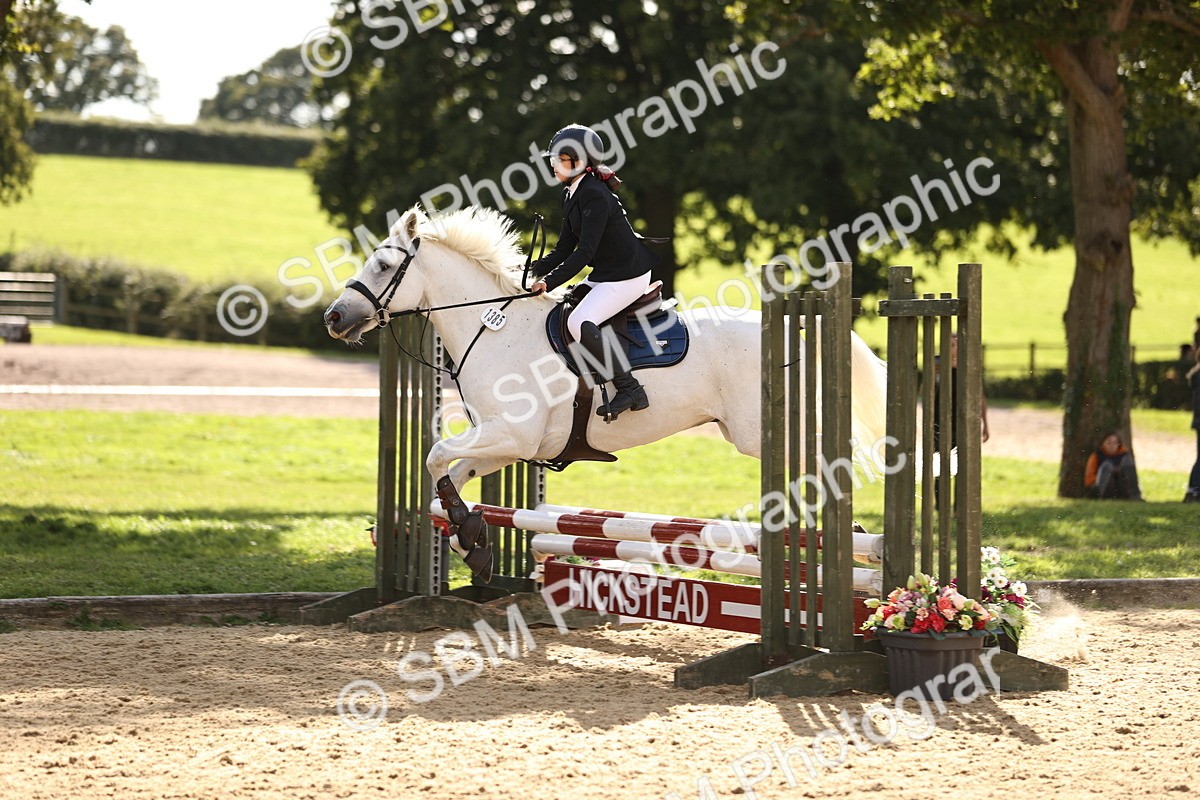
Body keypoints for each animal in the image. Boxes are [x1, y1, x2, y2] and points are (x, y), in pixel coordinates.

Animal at [324, 205, 888, 577]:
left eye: (382, 265)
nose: (334, 318)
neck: (494, 328)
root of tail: (793, 329)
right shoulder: (509, 443)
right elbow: (450, 476)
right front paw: (473, 541)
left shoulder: (512, 435)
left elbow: (436, 455)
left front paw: (471, 536)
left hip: (757, 431)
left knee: (827, 459)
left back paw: (858, 537)